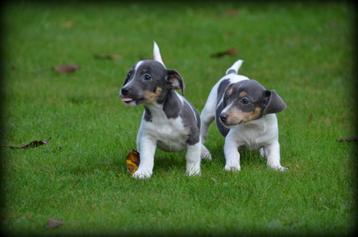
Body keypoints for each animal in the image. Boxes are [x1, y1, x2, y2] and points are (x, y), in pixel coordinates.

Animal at [120, 43, 211, 180]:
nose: (124, 90)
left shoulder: (193, 136)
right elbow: (146, 157)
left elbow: (192, 157)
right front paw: (143, 172)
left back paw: (204, 153)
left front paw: (193, 173)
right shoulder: (148, 138)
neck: (160, 114)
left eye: (147, 76)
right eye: (129, 75)